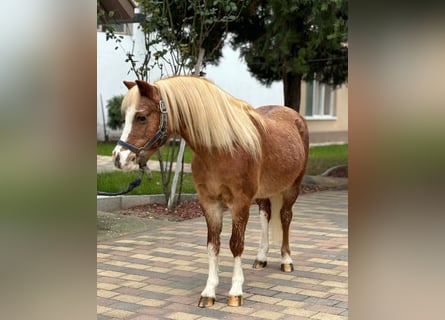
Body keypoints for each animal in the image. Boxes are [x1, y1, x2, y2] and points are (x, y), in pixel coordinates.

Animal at [111, 75, 306, 308]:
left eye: (141, 117)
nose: (119, 158)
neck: (223, 149)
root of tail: (295, 116)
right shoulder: (209, 203)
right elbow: (213, 245)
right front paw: (209, 292)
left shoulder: (240, 204)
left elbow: (236, 244)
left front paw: (235, 292)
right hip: (263, 194)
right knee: (266, 215)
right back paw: (261, 258)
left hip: (292, 188)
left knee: (285, 217)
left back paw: (286, 260)